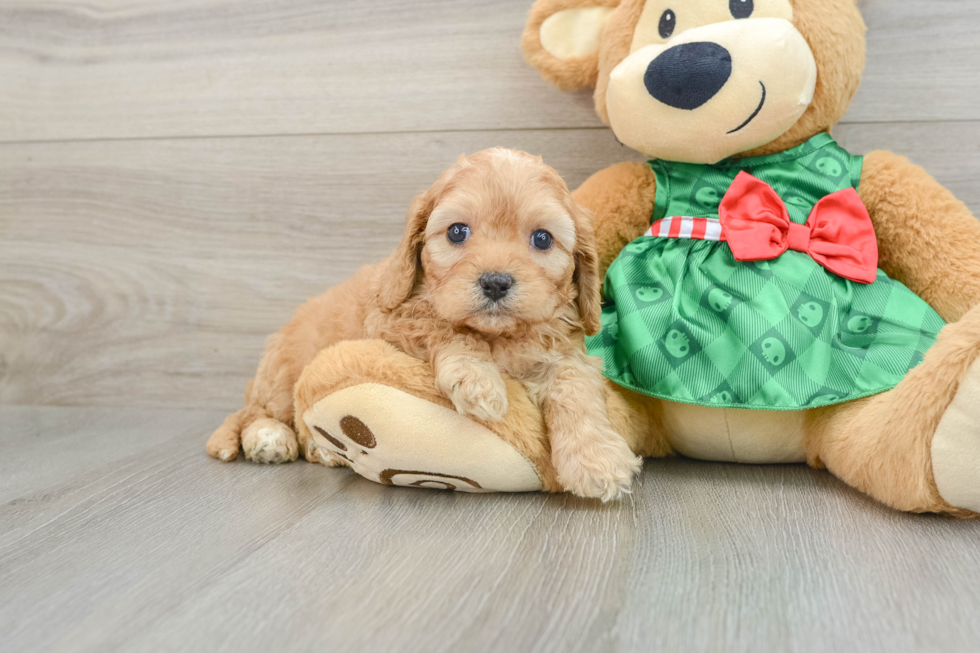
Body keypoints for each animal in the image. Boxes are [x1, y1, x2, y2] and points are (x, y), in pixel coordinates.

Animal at [207, 148, 644, 500]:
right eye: (457, 232)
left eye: (542, 239)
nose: (495, 282)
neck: (497, 336)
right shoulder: (390, 321)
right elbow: (440, 325)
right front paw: (478, 378)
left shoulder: (565, 352)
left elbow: (575, 386)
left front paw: (596, 460)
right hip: (282, 377)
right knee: (256, 414)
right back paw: (273, 438)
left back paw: (320, 449)